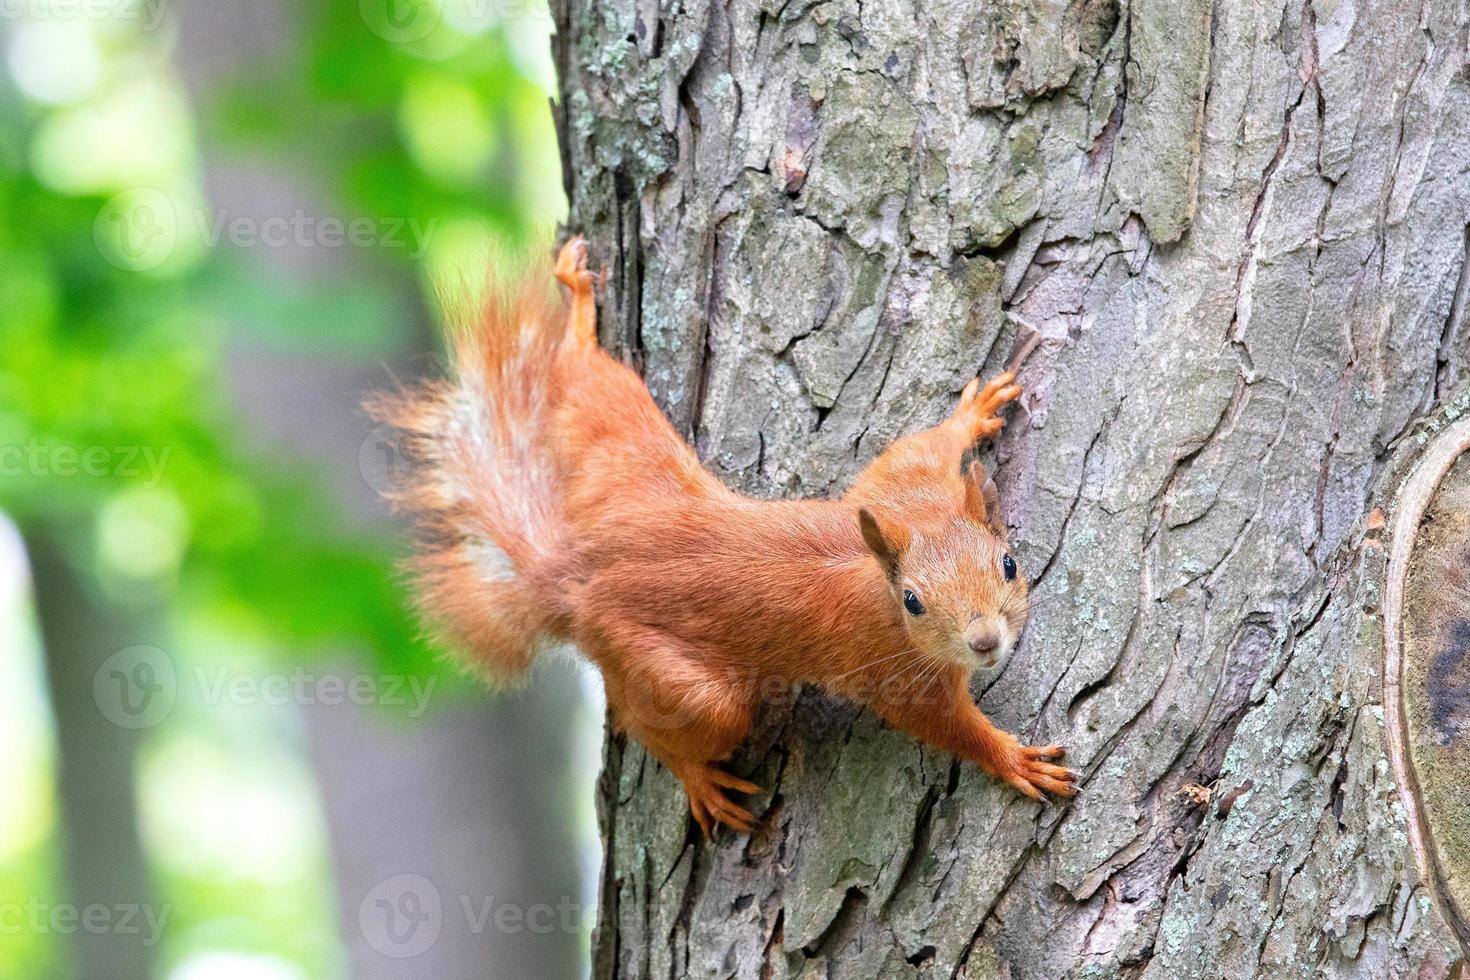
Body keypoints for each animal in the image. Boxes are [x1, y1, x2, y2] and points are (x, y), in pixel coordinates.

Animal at [370, 238, 1081, 834]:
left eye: (1009, 564)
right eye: (913, 602)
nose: (985, 642)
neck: (879, 572)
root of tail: (577, 577)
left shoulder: (898, 490)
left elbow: (911, 451)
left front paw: (971, 413)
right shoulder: (895, 671)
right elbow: (941, 725)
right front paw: (1012, 759)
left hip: (626, 464)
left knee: (587, 386)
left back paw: (576, 310)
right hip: (681, 680)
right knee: (652, 716)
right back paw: (699, 779)